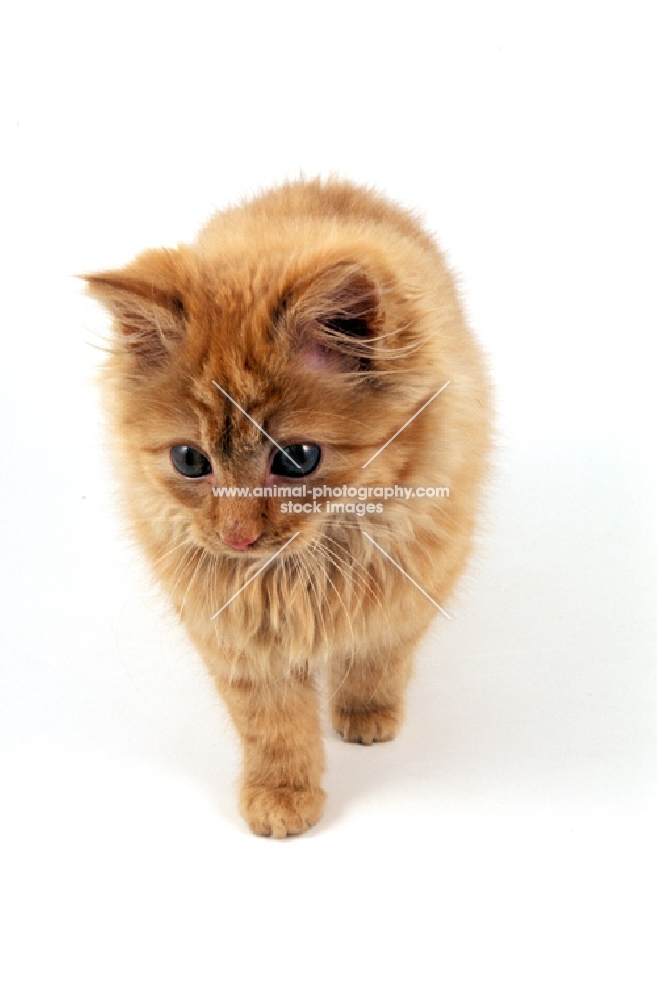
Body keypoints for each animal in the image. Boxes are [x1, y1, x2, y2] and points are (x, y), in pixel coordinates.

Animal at [84, 178, 490, 836]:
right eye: (190, 461)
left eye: (297, 459)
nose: (237, 536)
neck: (303, 572)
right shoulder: (236, 639)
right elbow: (273, 726)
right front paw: (282, 797)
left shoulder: (411, 587)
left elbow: (377, 658)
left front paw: (366, 716)